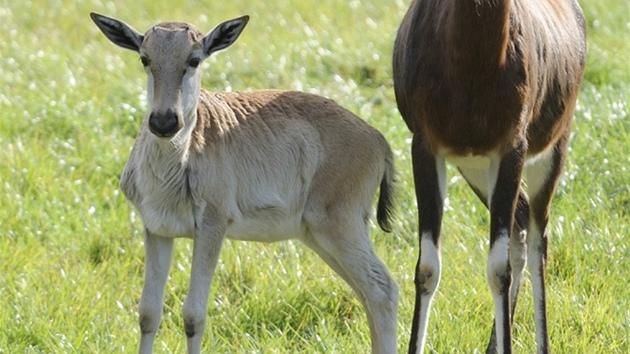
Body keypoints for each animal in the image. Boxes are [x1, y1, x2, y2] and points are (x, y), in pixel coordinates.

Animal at [90, 12, 400, 352]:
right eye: (145, 58)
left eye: (194, 59)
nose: (164, 122)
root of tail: (378, 139)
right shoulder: (157, 230)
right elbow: (148, 313)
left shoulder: (212, 227)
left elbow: (193, 315)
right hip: (316, 235)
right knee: (367, 293)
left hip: (339, 226)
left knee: (383, 289)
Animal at [396, 0, 588, 354]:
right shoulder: (426, 148)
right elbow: (427, 268)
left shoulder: (511, 149)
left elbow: (499, 270)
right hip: (476, 169)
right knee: (521, 219)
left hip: (552, 151)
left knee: (538, 236)